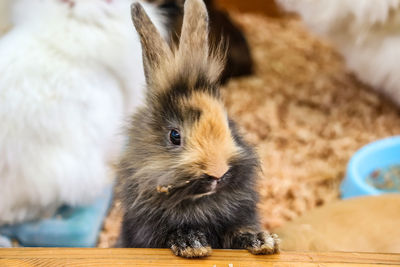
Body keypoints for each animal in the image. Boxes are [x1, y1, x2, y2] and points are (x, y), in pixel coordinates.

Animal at [117, 0, 280, 258]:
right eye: (174, 136)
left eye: (228, 124)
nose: (218, 172)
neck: (200, 203)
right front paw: (192, 244)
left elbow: (240, 232)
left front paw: (263, 241)